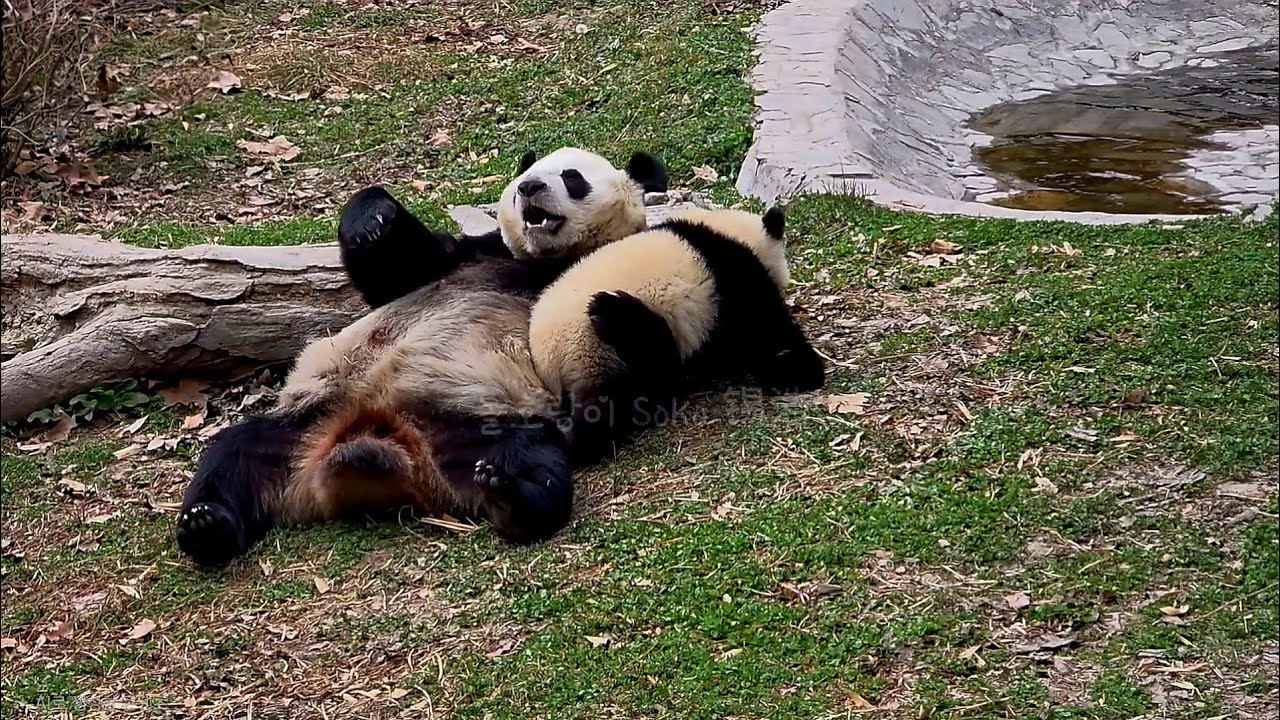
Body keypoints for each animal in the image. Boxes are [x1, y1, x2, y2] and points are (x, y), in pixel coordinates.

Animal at [175, 147, 667, 567]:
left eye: (571, 177)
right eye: (524, 176)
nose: (530, 188)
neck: (542, 262)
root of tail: (385, 443)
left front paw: (620, 319)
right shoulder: (470, 255)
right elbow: (396, 270)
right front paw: (374, 218)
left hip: (474, 423)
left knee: (531, 460)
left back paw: (512, 496)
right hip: (308, 421)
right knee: (235, 454)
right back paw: (206, 525)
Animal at [525, 206, 826, 459]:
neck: (731, 230)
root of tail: (550, 362)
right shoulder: (733, 281)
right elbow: (770, 338)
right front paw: (797, 365)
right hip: (597, 352)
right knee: (632, 394)